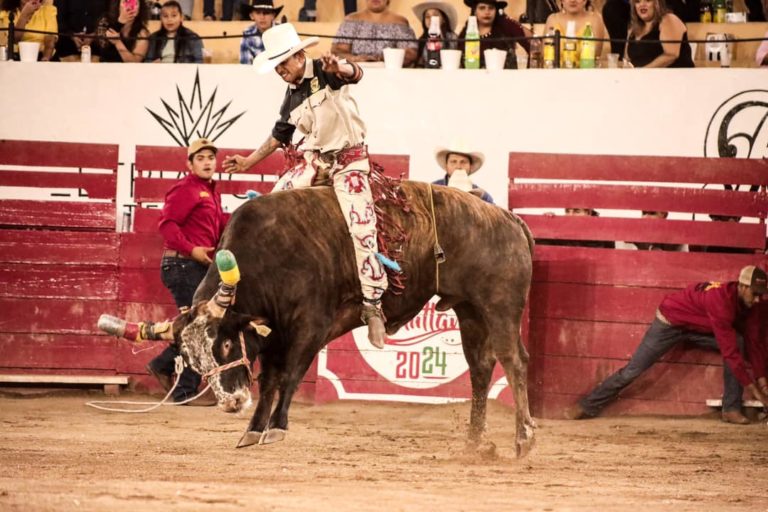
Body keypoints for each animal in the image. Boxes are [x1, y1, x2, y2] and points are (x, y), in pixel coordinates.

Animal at [171, 180, 536, 456]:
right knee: (480, 367)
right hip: (470, 310)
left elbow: (289, 375)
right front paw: (253, 430)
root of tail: (509, 218)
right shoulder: (274, 334)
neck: (269, 254)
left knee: (514, 360)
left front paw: (276, 428)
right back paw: (475, 442)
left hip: (500, 306)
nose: (231, 403)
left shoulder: (310, 326)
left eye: (226, 344)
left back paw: (524, 438)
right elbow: (270, 378)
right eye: (194, 362)